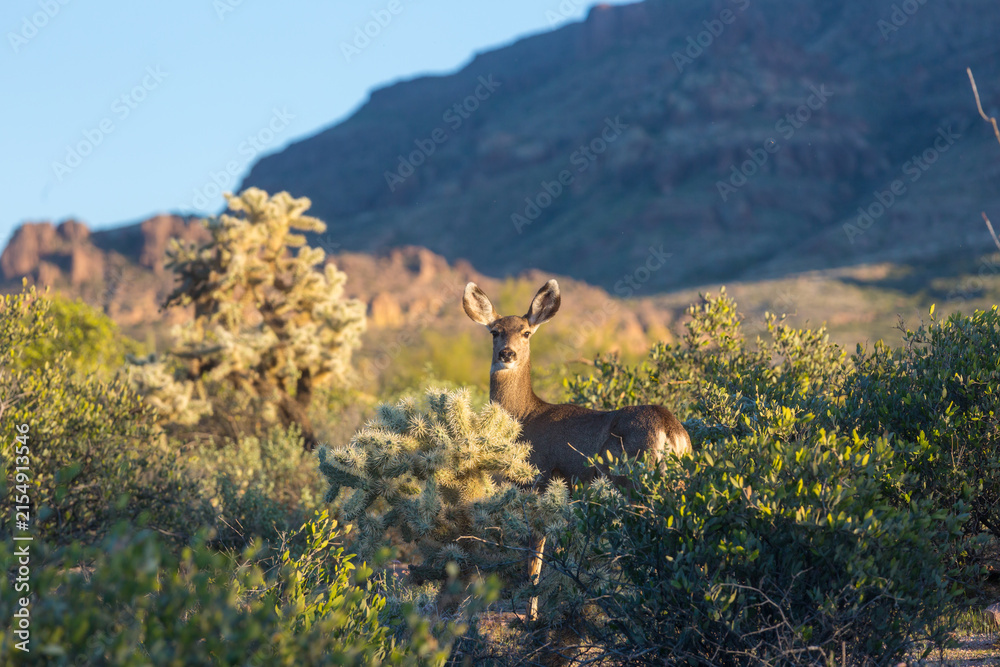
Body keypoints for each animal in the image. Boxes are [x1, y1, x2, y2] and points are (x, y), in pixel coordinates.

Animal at [463, 278, 691, 621]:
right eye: (495, 331)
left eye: (526, 332)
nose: (507, 353)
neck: (525, 417)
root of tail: (669, 428)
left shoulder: (539, 479)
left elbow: (535, 554)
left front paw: (531, 615)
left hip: (632, 480)